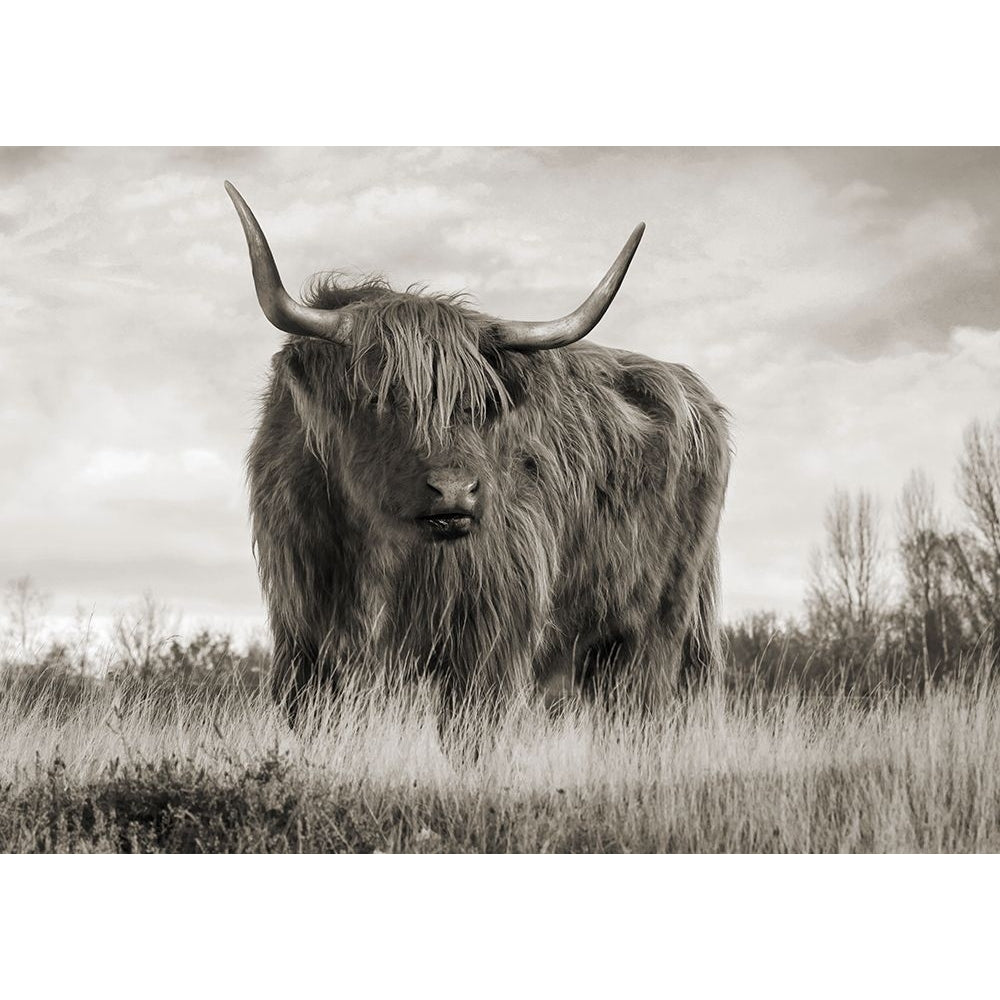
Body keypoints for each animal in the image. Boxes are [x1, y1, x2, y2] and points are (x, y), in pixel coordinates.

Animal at [225, 182, 728, 720]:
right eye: (377, 396)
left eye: (481, 404)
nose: (454, 491)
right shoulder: (304, 637)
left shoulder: (489, 638)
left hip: (657, 627)